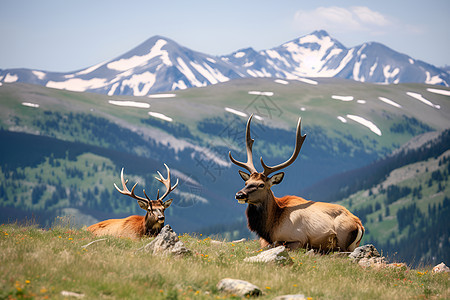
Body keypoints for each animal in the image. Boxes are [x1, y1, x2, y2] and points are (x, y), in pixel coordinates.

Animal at [230, 115, 364, 251]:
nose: (239, 194)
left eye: (261, 185)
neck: (270, 227)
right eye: (246, 182)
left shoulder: (298, 239)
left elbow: (277, 244)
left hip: (342, 237)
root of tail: (359, 225)